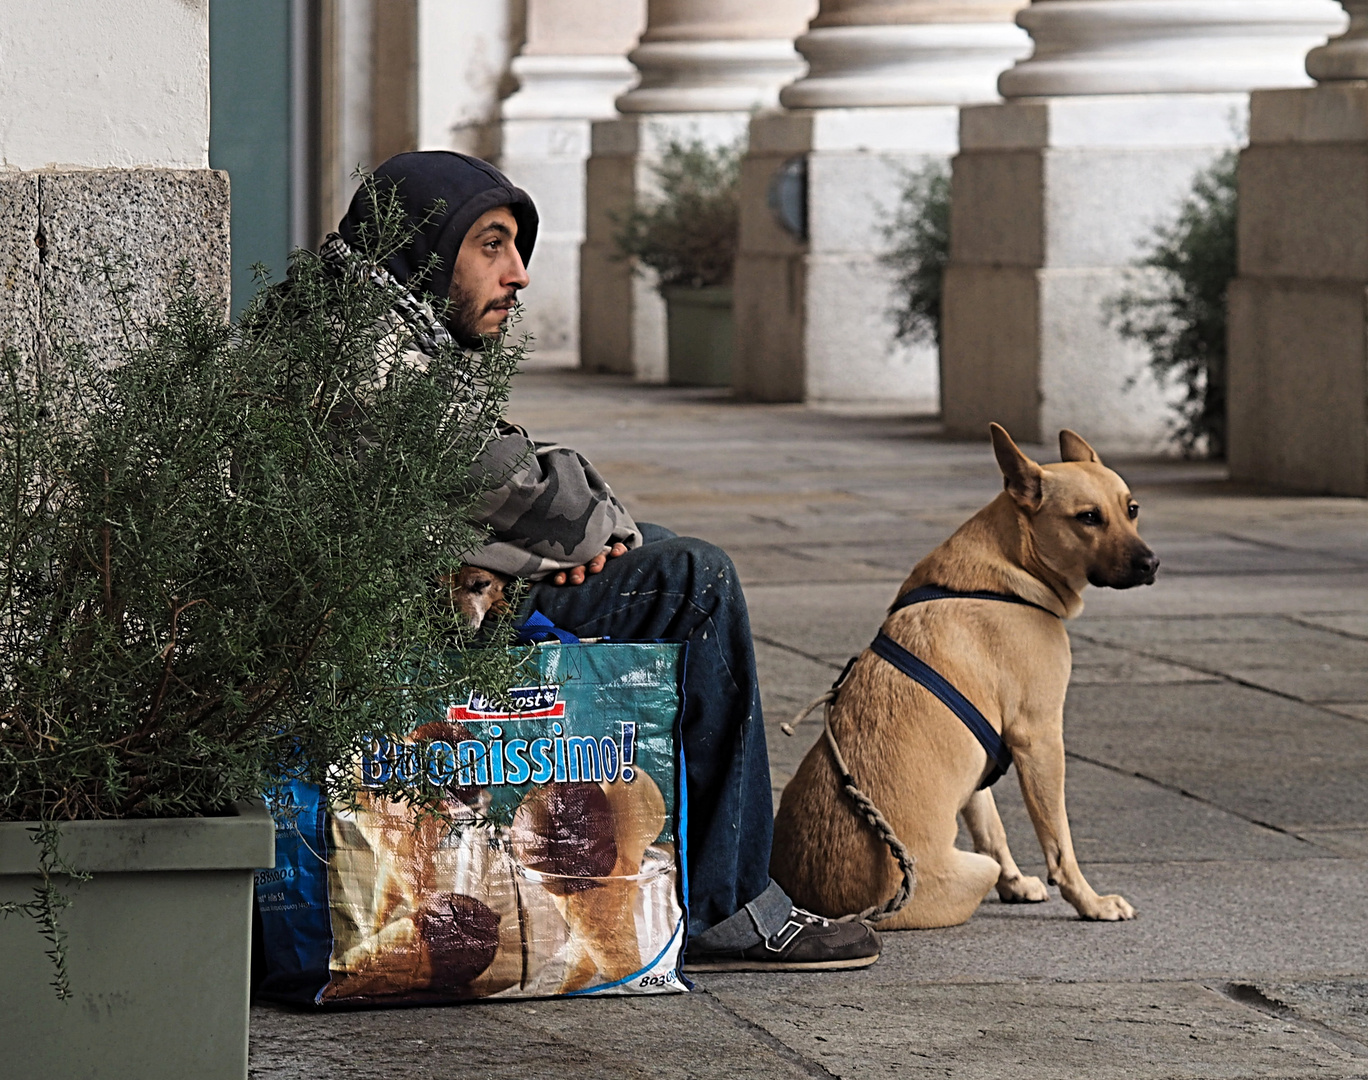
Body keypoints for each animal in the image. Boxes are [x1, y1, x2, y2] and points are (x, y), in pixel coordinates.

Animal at [771, 421, 1154, 925]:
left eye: (1132, 509)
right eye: (1088, 517)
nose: (1151, 564)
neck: (1006, 575)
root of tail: (823, 906)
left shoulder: (983, 759)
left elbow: (991, 827)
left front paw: (1017, 885)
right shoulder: (1040, 739)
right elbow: (1059, 842)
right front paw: (1090, 903)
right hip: (972, 868)